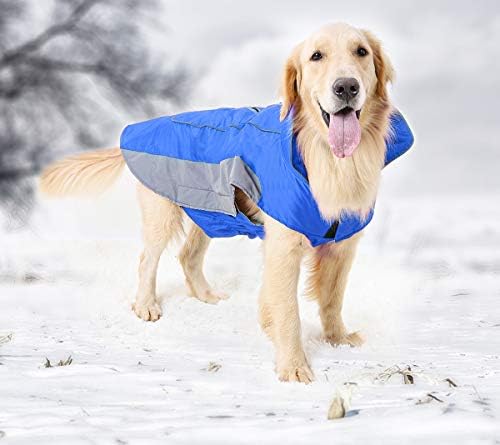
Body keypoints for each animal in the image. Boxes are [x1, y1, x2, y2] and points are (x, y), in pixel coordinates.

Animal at [39, 22, 396, 382]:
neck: (329, 159)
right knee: (147, 260)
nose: (346, 87)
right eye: (316, 56)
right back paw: (146, 305)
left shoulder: (343, 245)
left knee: (187, 256)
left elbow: (332, 298)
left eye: (361, 52)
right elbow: (289, 311)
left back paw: (206, 295)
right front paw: (293, 365)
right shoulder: (283, 246)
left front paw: (337, 339)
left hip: (212, 212)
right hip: (164, 213)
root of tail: (144, 127)